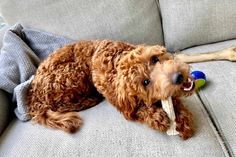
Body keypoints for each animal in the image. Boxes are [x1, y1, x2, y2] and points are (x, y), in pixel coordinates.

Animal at [26, 40, 195, 140]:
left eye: (154, 59)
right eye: (145, 82)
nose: (178, 77)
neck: (117, 60)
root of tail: (34, 93)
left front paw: (183, 119)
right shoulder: (123, 104)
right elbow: (137, 110)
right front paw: (156, 116)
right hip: (73, 75)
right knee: (66, 104)